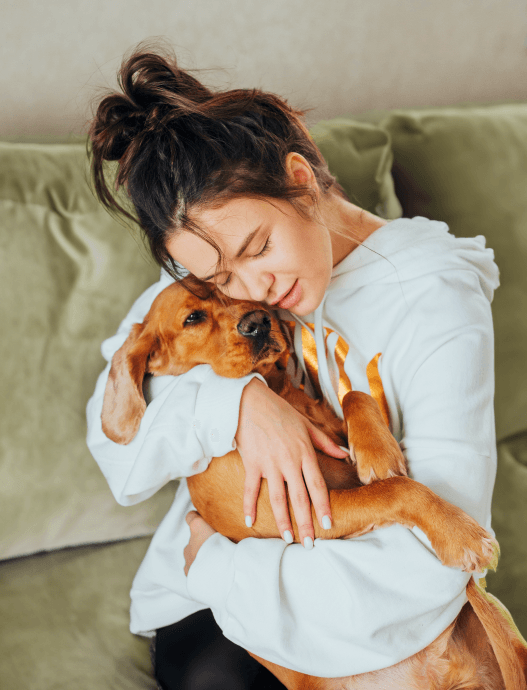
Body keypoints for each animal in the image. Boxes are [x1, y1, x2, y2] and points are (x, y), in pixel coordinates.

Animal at [102, 276, 527, 684]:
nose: (259, 321)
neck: (281, 396)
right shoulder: (302, 512)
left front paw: (378, 450)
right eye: (192, 318)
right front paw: (460, 534)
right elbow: (394, 489)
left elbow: (356, 395)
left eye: (235, 290)